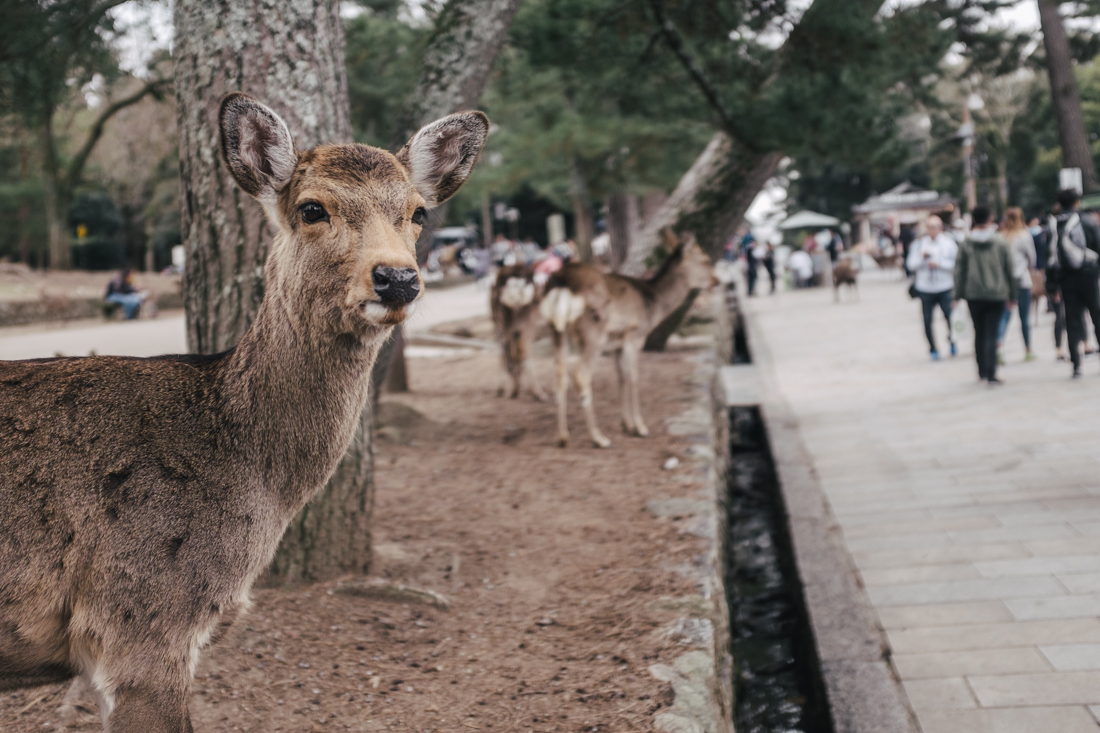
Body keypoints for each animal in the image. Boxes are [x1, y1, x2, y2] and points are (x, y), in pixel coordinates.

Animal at [490, 263, 550, 400]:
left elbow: (506, 355)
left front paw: (503, 389)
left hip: (505, 323)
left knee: (510, 354)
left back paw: (514, 390)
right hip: (523, 323)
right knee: (522, 352)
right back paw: (536, 393)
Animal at [539, 230, 712, 444]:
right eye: (706, 260)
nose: (716, 280)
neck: (653, 305)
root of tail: (560, 283)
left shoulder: (616, 343)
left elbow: (621, 378)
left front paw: (626, 424)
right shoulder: (634, 335)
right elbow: (634, 378)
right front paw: (641, 427)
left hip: (557, 332)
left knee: (560, 374)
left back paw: (562, 436)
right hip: (593, 333)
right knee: (581, 375)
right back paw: (599, 438)